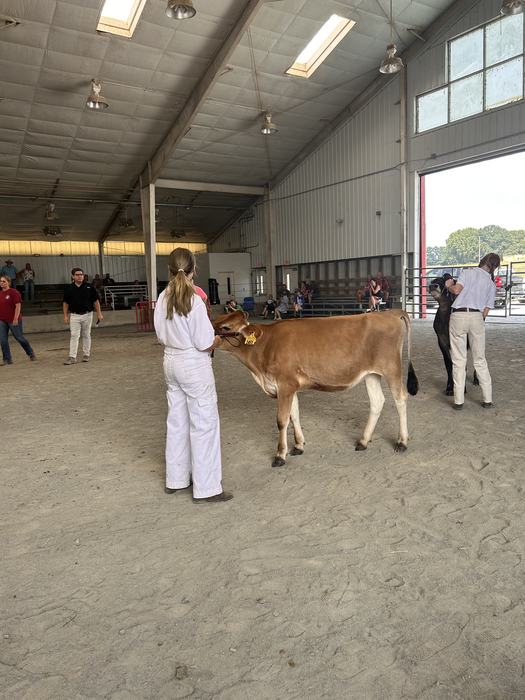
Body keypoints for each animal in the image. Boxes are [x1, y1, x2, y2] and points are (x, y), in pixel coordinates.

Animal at [213, 309, 419, 468]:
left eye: (226, 328)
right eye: (214, 320)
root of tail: (389, 312)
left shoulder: (285, 384)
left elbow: (282, 420)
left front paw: (280, 455)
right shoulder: (290, 387)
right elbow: (294, 415)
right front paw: (298, 446)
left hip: (392, 368)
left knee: (400, 398)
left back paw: (402, 442)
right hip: (371, 374)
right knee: (377, 401)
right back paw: (363, 441)